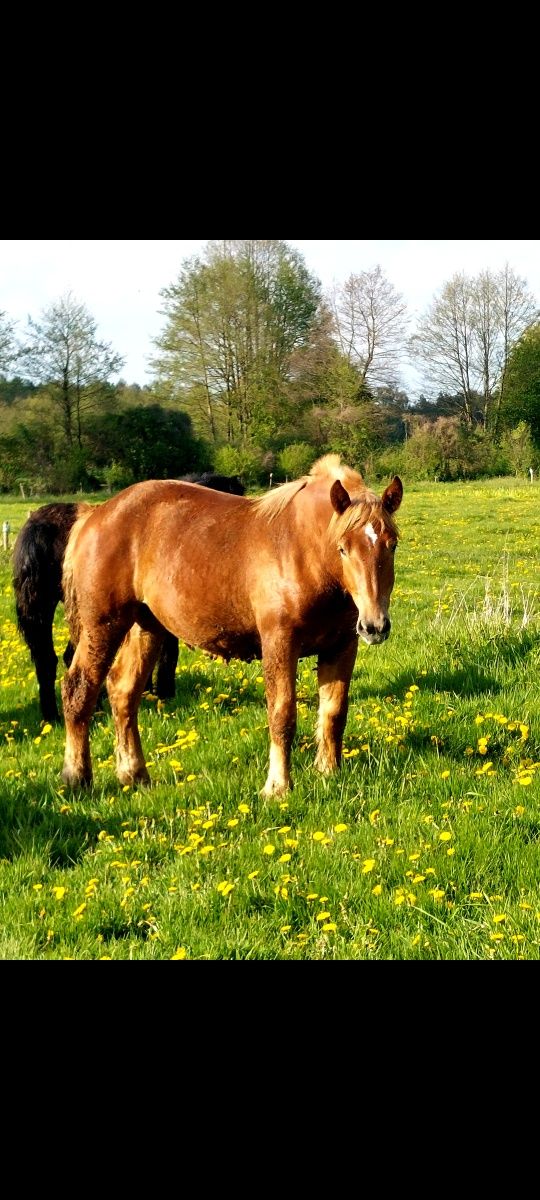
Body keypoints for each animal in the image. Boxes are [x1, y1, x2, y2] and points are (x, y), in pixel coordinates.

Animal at [61, 453, 403, 792]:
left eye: (392, 545)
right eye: (342, 547)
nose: (375, 626)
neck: (303, 553)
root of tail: (96, 514)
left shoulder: (341, 646)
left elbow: (333, 712)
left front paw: (328, 771)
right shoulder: (279, 643)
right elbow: (282, 714)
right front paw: (277, 786)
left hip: (146, 627)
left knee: (123, 692)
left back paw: (134, 774)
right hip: (102, 627)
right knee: (79, 689)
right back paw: (76, 776)